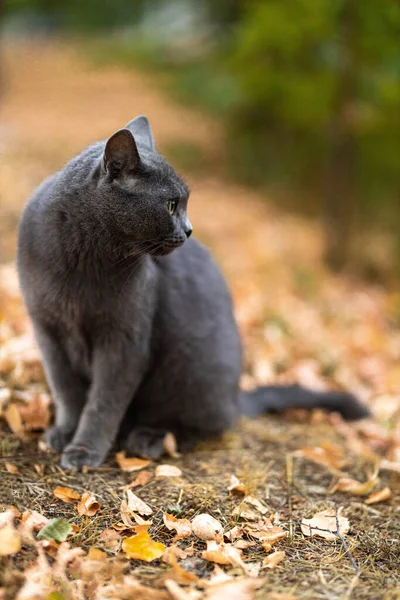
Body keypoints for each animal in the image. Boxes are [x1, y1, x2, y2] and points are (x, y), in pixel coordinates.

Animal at [18, 113, 368, 468]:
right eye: (172, 205)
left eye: (183, 204)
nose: (189, 229)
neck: (83, 262)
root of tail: (235, 397)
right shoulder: (48, 330)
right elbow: (67, 391)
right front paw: (64, 433)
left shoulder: (125, 341)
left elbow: (103, 402)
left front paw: (84, 450)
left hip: (195, 371)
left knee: (206, 425)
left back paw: (149, 439)